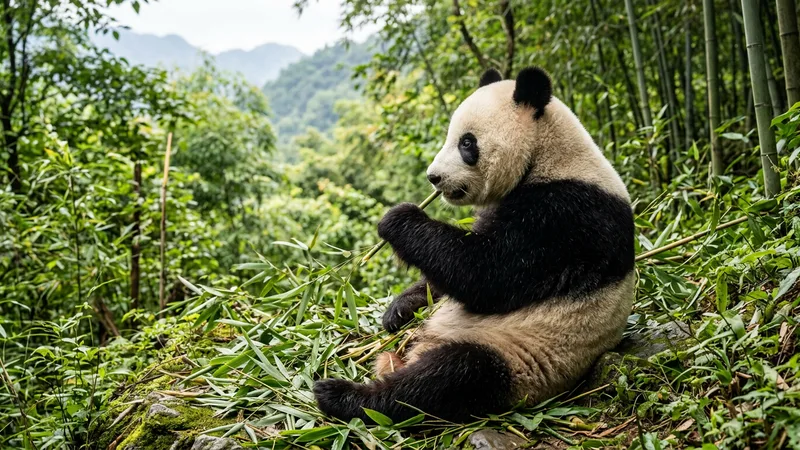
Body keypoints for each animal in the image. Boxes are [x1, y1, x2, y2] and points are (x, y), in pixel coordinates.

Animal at [313, 66, 635, 423]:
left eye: (467, 143)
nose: (434, 177)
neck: (547, 156)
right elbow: (443, 277)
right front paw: (398, 309)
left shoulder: (566, 217)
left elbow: (486, 275)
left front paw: (398, 218)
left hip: (520, 358)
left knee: (451, 376)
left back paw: (344, 395)